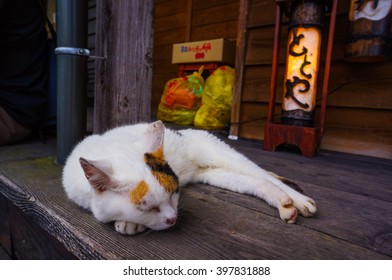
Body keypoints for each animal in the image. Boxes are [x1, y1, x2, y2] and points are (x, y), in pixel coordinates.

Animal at [62, 120, 316, 234]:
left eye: (174, 193)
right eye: (147, 207)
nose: (173, 219)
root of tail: (185, 130)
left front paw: (129, 224)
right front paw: (129, 223)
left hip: (221, 154)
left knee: (263, 174)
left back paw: (300, 201)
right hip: (214, 175)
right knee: (257, 182)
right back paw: (284, 204)